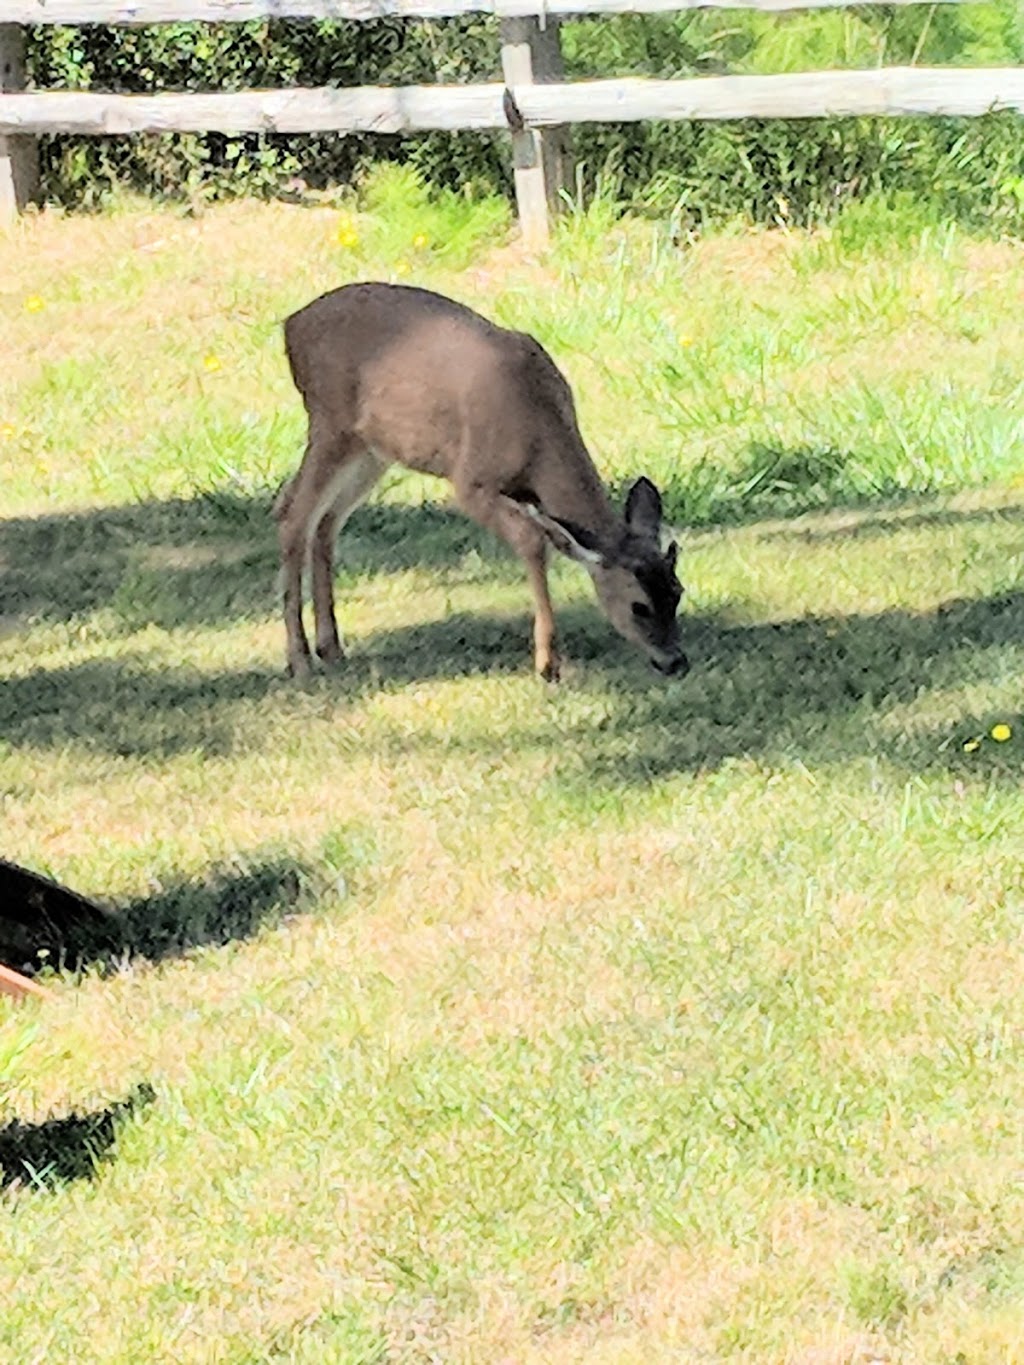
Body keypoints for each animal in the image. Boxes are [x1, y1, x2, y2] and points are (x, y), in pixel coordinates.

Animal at [277, 281, 685, 682]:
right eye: (638, 606)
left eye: (678, 591)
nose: (676, 662)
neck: (537, 432)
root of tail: (291, 325)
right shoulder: (470, 481)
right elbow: (531, 541)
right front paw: (547, 662)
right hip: (331, 424)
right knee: (292, 513)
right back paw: (299, 660)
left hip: (372, 450)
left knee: (326, 521)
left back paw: (330, 648)